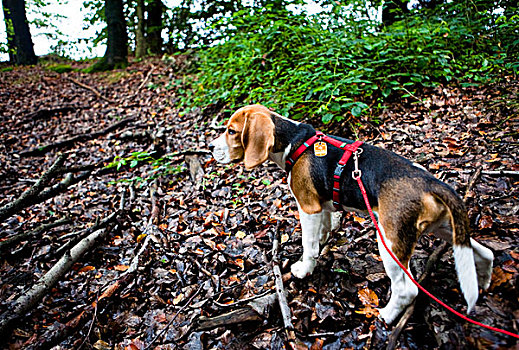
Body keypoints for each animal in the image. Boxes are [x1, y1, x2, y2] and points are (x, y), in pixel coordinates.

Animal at [209, 104, 494, 326]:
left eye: (231, 131)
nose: (210, 148)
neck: (293, 141)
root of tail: (431, 183)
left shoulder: (308, 207)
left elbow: (308, 245)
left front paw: (304, 269)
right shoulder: (323, 206)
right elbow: (324, 230)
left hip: (389, 241)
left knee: (407, 289)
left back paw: (387, 315)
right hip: (446, 228)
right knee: (483, 252)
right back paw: (484, 282)